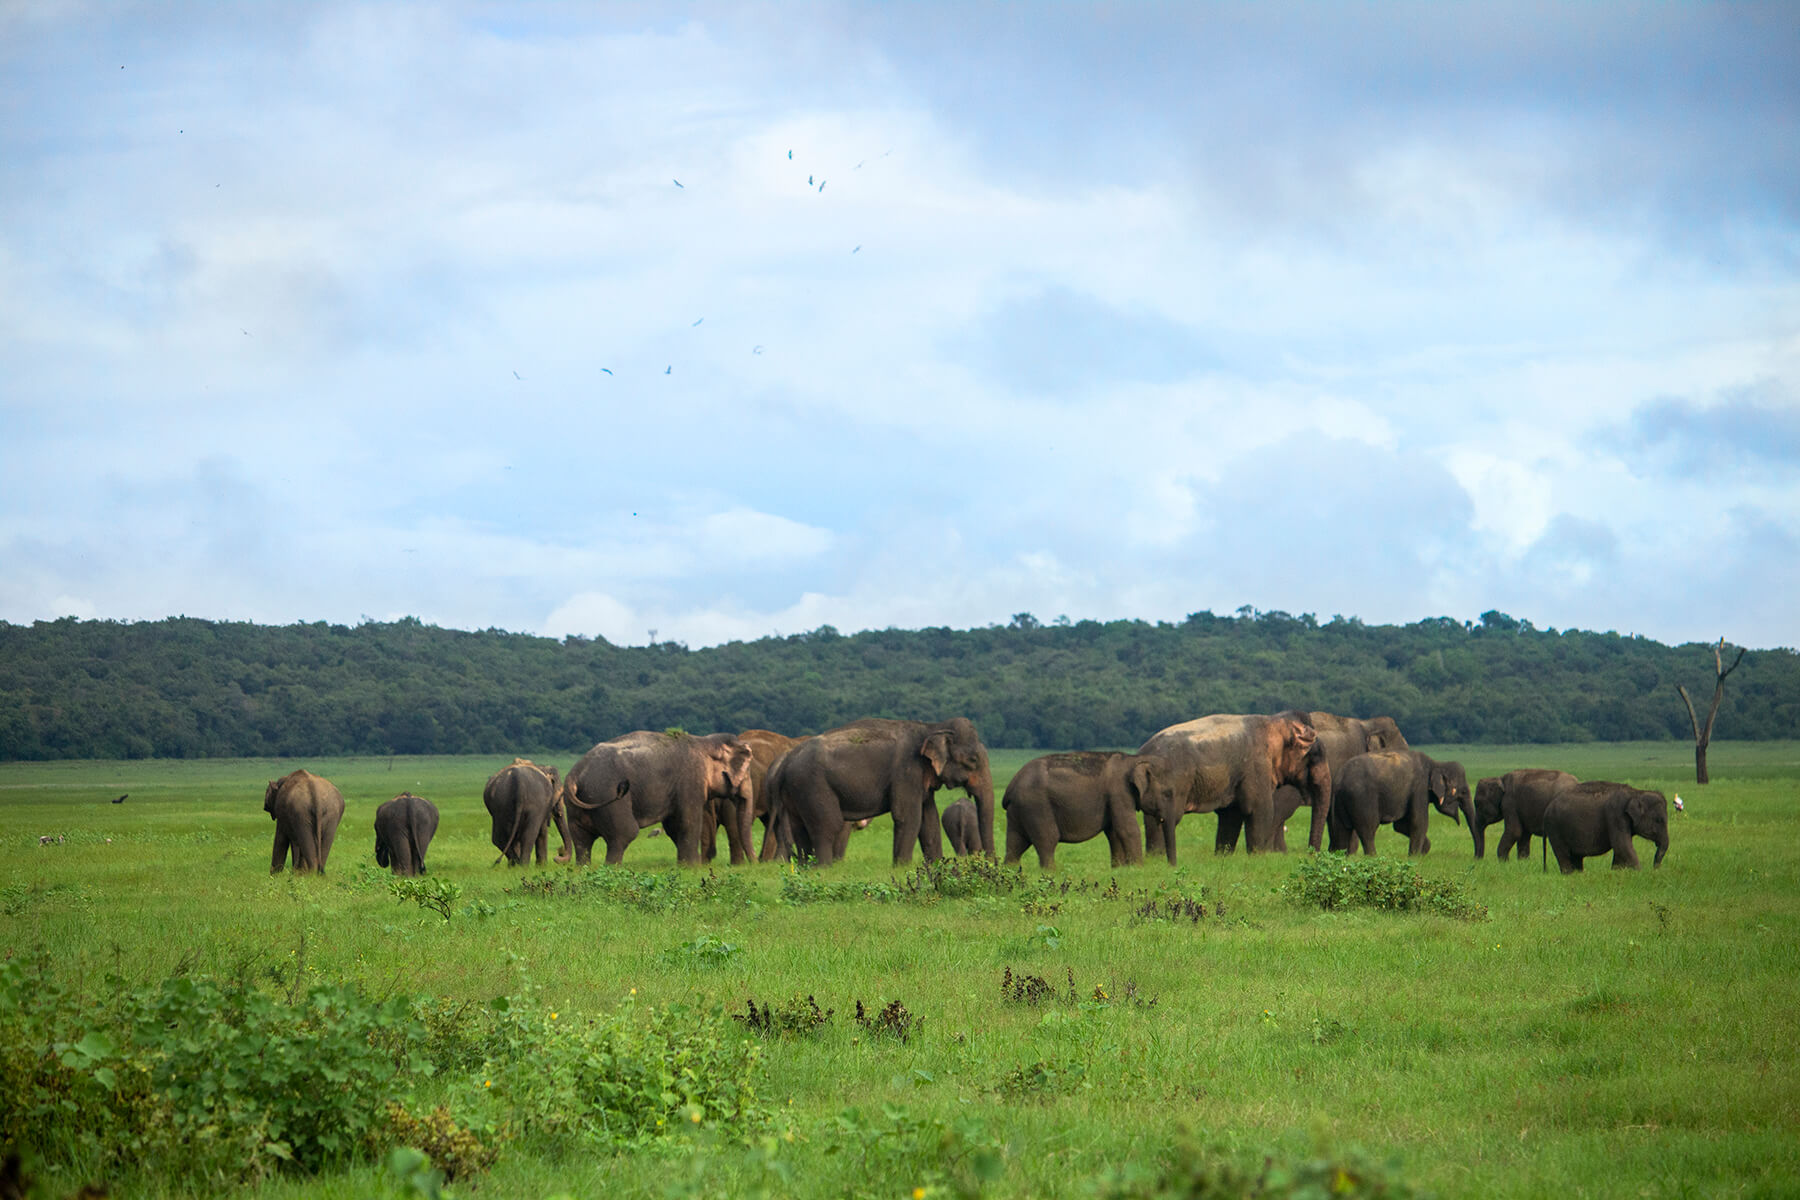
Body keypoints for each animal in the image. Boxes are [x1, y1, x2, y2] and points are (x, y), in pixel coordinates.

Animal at [565, 726, 756, 867]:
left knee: (582, 840)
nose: (755, 863)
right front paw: (693, 868)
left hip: (577, 806)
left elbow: (673, 826)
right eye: (747, 770)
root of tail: (575, 773)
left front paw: (686, 866)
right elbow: (688, 822)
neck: (703, 741)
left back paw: (583, 868)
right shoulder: (690, 781)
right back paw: (612, 868)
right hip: (606, 795)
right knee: (625, 833)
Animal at [763, 719, 1000, 867]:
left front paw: (935, 865)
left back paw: (807, 867)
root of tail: (787, 760)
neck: (931, 727)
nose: (990, 865)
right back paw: (824, 868)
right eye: (973, 760)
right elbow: (909, 817)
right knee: (827, 825)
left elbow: (929, 818)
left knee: (799, 828)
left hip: (796, 791)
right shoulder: (907, 771)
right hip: (813, 786)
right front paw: (902, 867)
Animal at [1000, 755, 1166, 867]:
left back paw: (1010, 872)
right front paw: (1138, 868)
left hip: (1018, 810)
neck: (1132, 760)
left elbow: (1113, 832)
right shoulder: (1120, 792)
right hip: (1036, 806)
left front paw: (1119, 870)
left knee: (1015, 844)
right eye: (1167, 793)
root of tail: (1010, 787)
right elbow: (1127, 829)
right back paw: (1051, 874)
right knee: (1047, 840)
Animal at [1137, 708, 1324, 859]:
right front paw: (1258, 858)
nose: (1310, 855)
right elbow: (1260, 810)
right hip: (1172, 784)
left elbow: (1231, 814)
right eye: (1314, 757)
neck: (1271, 721)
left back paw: (1156, 859)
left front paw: (1222, 857)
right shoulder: (1256, 766)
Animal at [1332, 744, 1468, 859]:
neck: (1436, 763)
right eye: (1462, 792)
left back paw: (1341, 858)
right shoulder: (1420, 788)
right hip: (1361, 798)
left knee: (1341, 830)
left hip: (1338, 801)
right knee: (1368, 829)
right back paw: (1373, 858)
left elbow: (1400, 826)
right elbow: (1419, 822)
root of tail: (1340, 779)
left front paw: (1423, 851)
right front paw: (1415, 857)